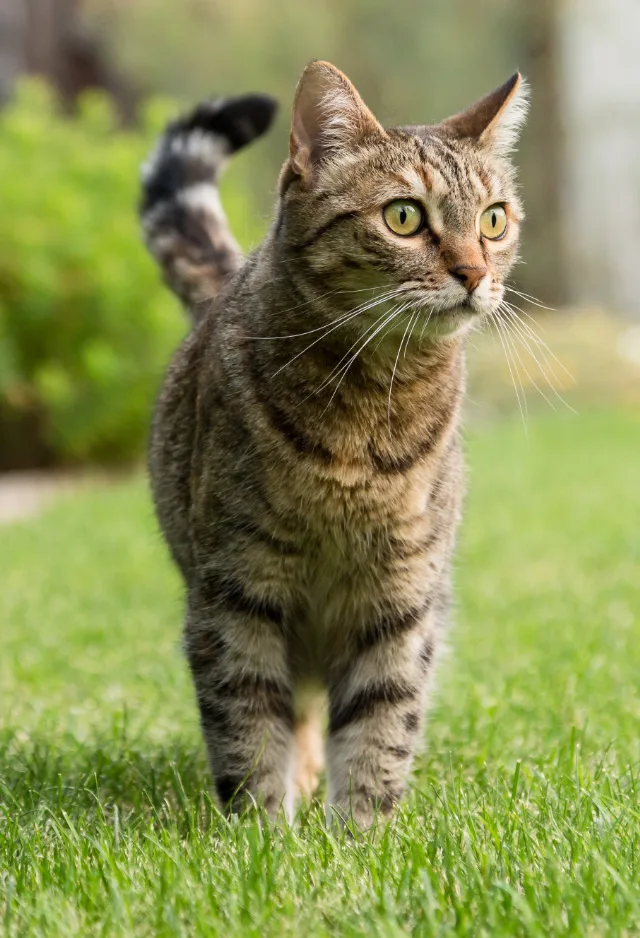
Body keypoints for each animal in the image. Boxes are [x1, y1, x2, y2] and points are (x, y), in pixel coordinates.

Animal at [142, 60, 528, 828]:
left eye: (494, 220)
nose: (475, 273)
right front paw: (263, 833)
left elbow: (383, 722)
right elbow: (247, 723)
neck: (368, 412)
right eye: (404, 216)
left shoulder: (402, 598)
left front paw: (361, 834)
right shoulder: (235, 591)